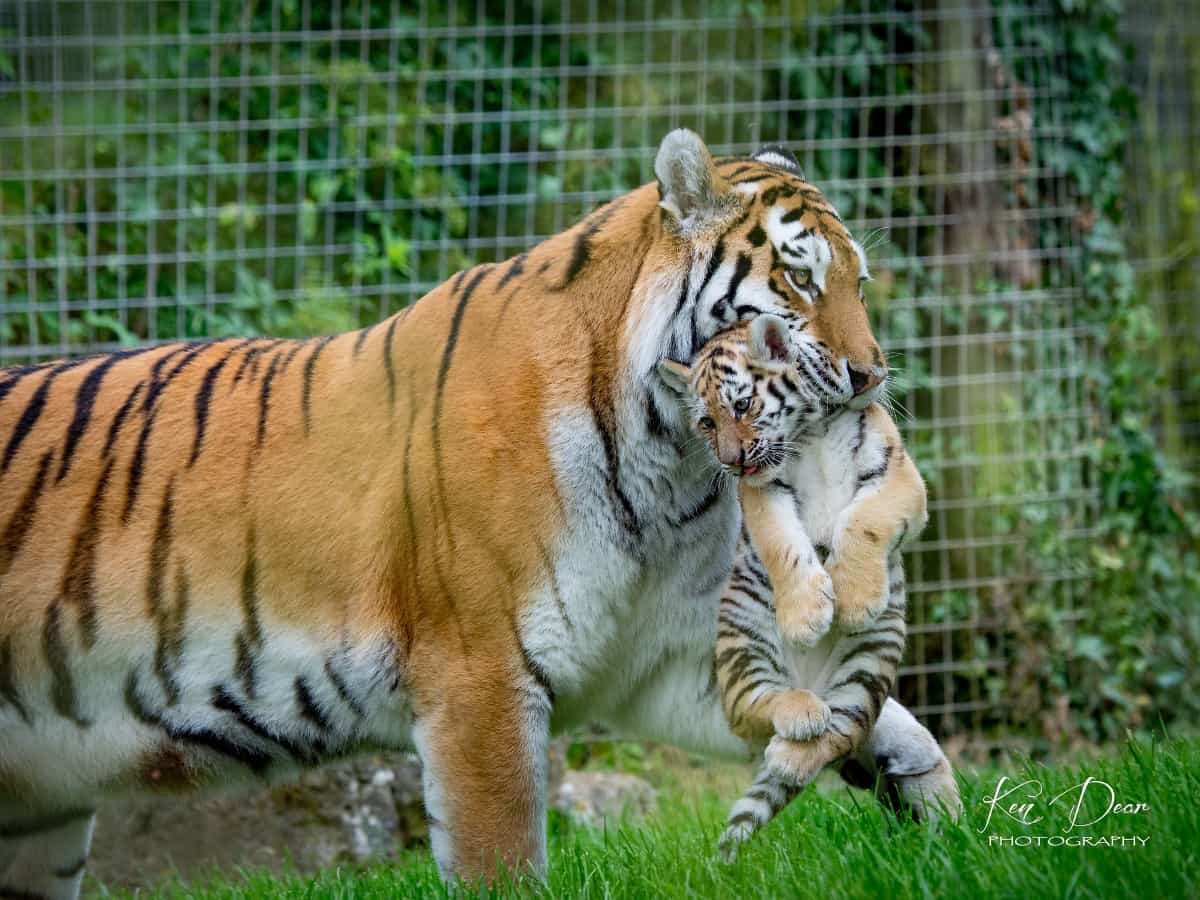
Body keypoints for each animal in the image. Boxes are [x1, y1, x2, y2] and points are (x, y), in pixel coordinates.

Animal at [0, 130, 955, 897]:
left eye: (861, 281)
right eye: (798, 278)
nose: (873, 376)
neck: (671, 464)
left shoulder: (658, 660)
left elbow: (871, 715)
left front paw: (945, 816)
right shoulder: (479, 676)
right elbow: (503, 858)